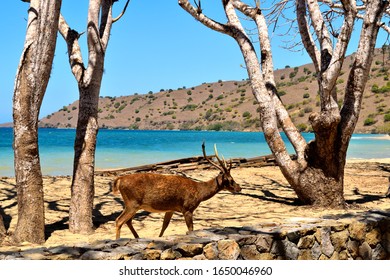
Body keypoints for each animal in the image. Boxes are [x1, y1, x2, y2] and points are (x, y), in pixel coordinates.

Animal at [111, 142, 241, 238]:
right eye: (230, 179)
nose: (239, 187)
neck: (199, 192)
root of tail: (119, 179)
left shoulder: (171, 209)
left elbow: (164, 226)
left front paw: (159, 237)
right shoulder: (187, 208)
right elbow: (191, 229)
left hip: (133, 204)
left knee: (127, 221)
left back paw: (137, 237)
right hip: (132, 202)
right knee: (119, 220)